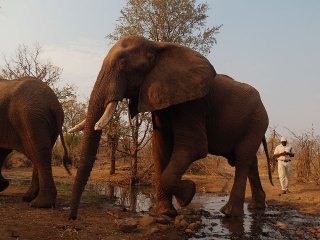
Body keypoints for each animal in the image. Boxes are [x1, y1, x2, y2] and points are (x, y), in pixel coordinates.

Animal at [0, 76, 70, 207]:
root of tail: (53, 103)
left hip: (32, 118)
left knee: (39, 155)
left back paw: (40, 204)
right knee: (39, 153)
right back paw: (29, 197)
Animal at [69, 35, 272, 219]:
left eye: (123, 63)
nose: (72, 218)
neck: (157, 46)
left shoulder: (192, 103)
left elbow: (194, 147)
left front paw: (188, 194)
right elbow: (160, 146)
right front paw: (164, 213)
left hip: (257, 120)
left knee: (243, 158)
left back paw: (230, 213)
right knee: (248, 160)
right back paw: (255, 207)